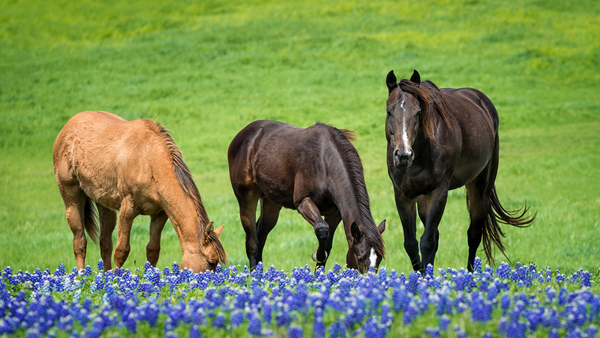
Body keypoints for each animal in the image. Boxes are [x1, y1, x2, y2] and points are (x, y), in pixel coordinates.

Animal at [52, 109, 227, 274]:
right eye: (211, 262)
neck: (148, 161)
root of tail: (67, 127)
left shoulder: (160, 213)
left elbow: (153, 250)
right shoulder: (127, 210)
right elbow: (121, 251)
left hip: (104, 203)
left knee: (105, 243)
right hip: (71, 195)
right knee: (79, 242)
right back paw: (81, 277)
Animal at [227, 120, 386, 274]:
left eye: (379, 260)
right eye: (359, 258)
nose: (370, 280)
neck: (325, 163)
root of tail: (242, 136)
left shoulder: (334, 214)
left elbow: (327, 245)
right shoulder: (303, 202)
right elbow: (322, 229)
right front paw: (317, 255)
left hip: (271, 202)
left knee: (261, 235)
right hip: (247, 199)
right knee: (252, 241)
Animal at [384, 69, 536, 272]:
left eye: (417, 113)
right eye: (389, 111)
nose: (403, 155)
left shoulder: (439, 191)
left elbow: (427, 242)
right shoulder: (403, 194)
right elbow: (411, 244)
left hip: (480, 187)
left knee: (474, 234)